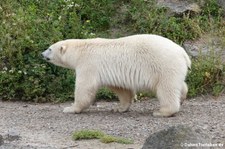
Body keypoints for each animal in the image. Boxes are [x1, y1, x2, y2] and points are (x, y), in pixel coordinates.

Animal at [41, 34, 190, 117]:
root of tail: (182, 52)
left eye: (49, 48)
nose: (41, 54)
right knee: (179, 85)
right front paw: (119, 108)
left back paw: (162, 112)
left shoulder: (88, 64)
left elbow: (84, 88)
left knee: (166, 89)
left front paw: (70, 108)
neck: (81, 50)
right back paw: (182, 97)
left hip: (163, 65)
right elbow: (122, 90)